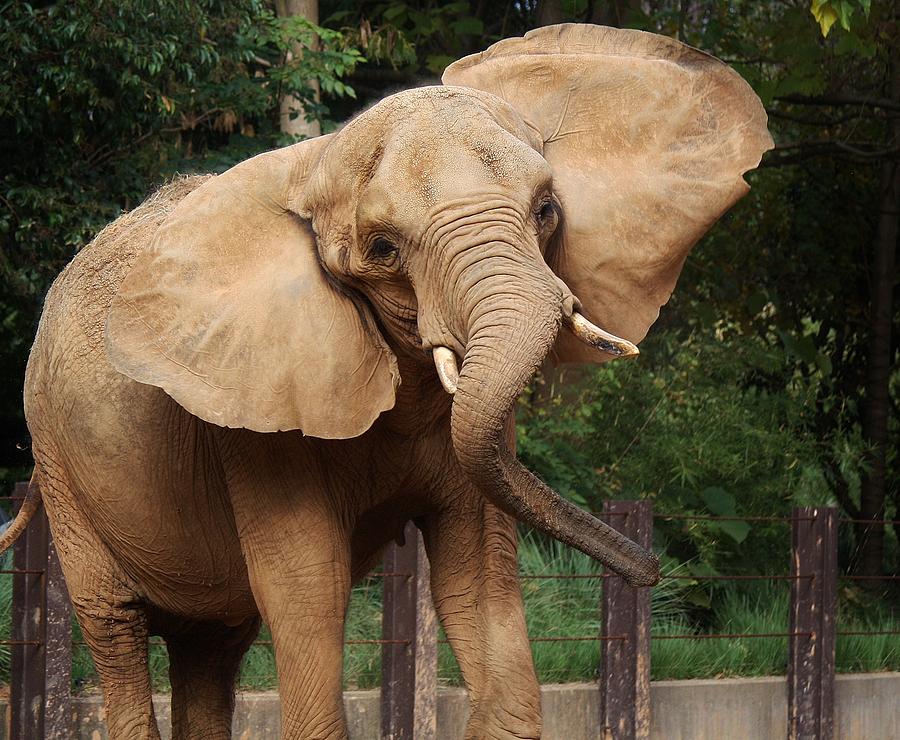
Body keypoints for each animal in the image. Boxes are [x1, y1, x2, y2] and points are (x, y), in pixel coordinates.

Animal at [3, 23, 768, 740]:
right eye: (382, 249)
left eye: (547, 209)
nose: (650, 568)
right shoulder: (255, 413)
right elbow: (307, 583)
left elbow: (477, 571)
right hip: (59, 459)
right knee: (116, 625)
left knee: (212, 647)